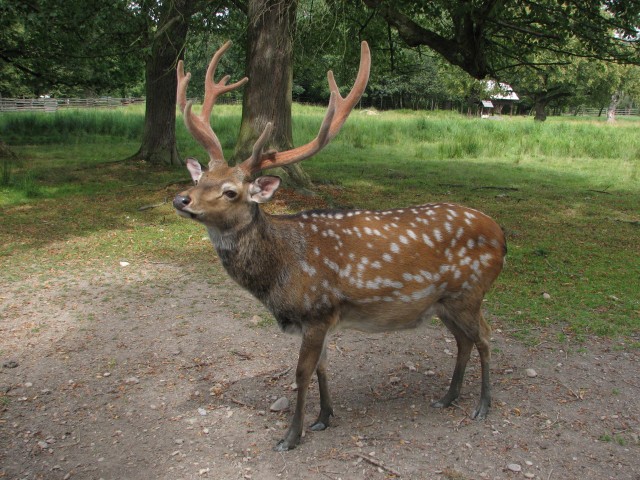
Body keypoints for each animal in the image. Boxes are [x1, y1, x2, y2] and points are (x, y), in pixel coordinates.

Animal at [172, 40, 508, 450]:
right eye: (200, 177)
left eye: (231, 191)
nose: (182, 199)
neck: (282, 273)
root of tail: (502, 236)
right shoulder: (322, 320)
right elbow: (323, 369)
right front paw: (324, 418)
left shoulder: (317, 309)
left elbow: (301, 374)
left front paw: (291, 436)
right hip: (444, 302)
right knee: (463, 341)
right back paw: (448, 397)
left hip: (470, 291)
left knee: (486, 338)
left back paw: (483, 405)